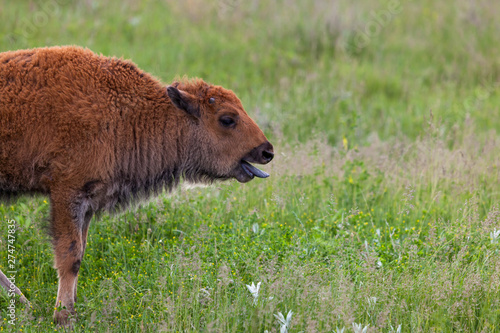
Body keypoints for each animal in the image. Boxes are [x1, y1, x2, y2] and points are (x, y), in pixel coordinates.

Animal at [0, 46, 274, 324]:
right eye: (227, 119)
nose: (267, 151)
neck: (126, 112)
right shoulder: (67, 194)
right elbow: (71, 256)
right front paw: (63, 316)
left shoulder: (86, 203)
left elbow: (80, 250)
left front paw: (73, 309)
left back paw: (24, 302)